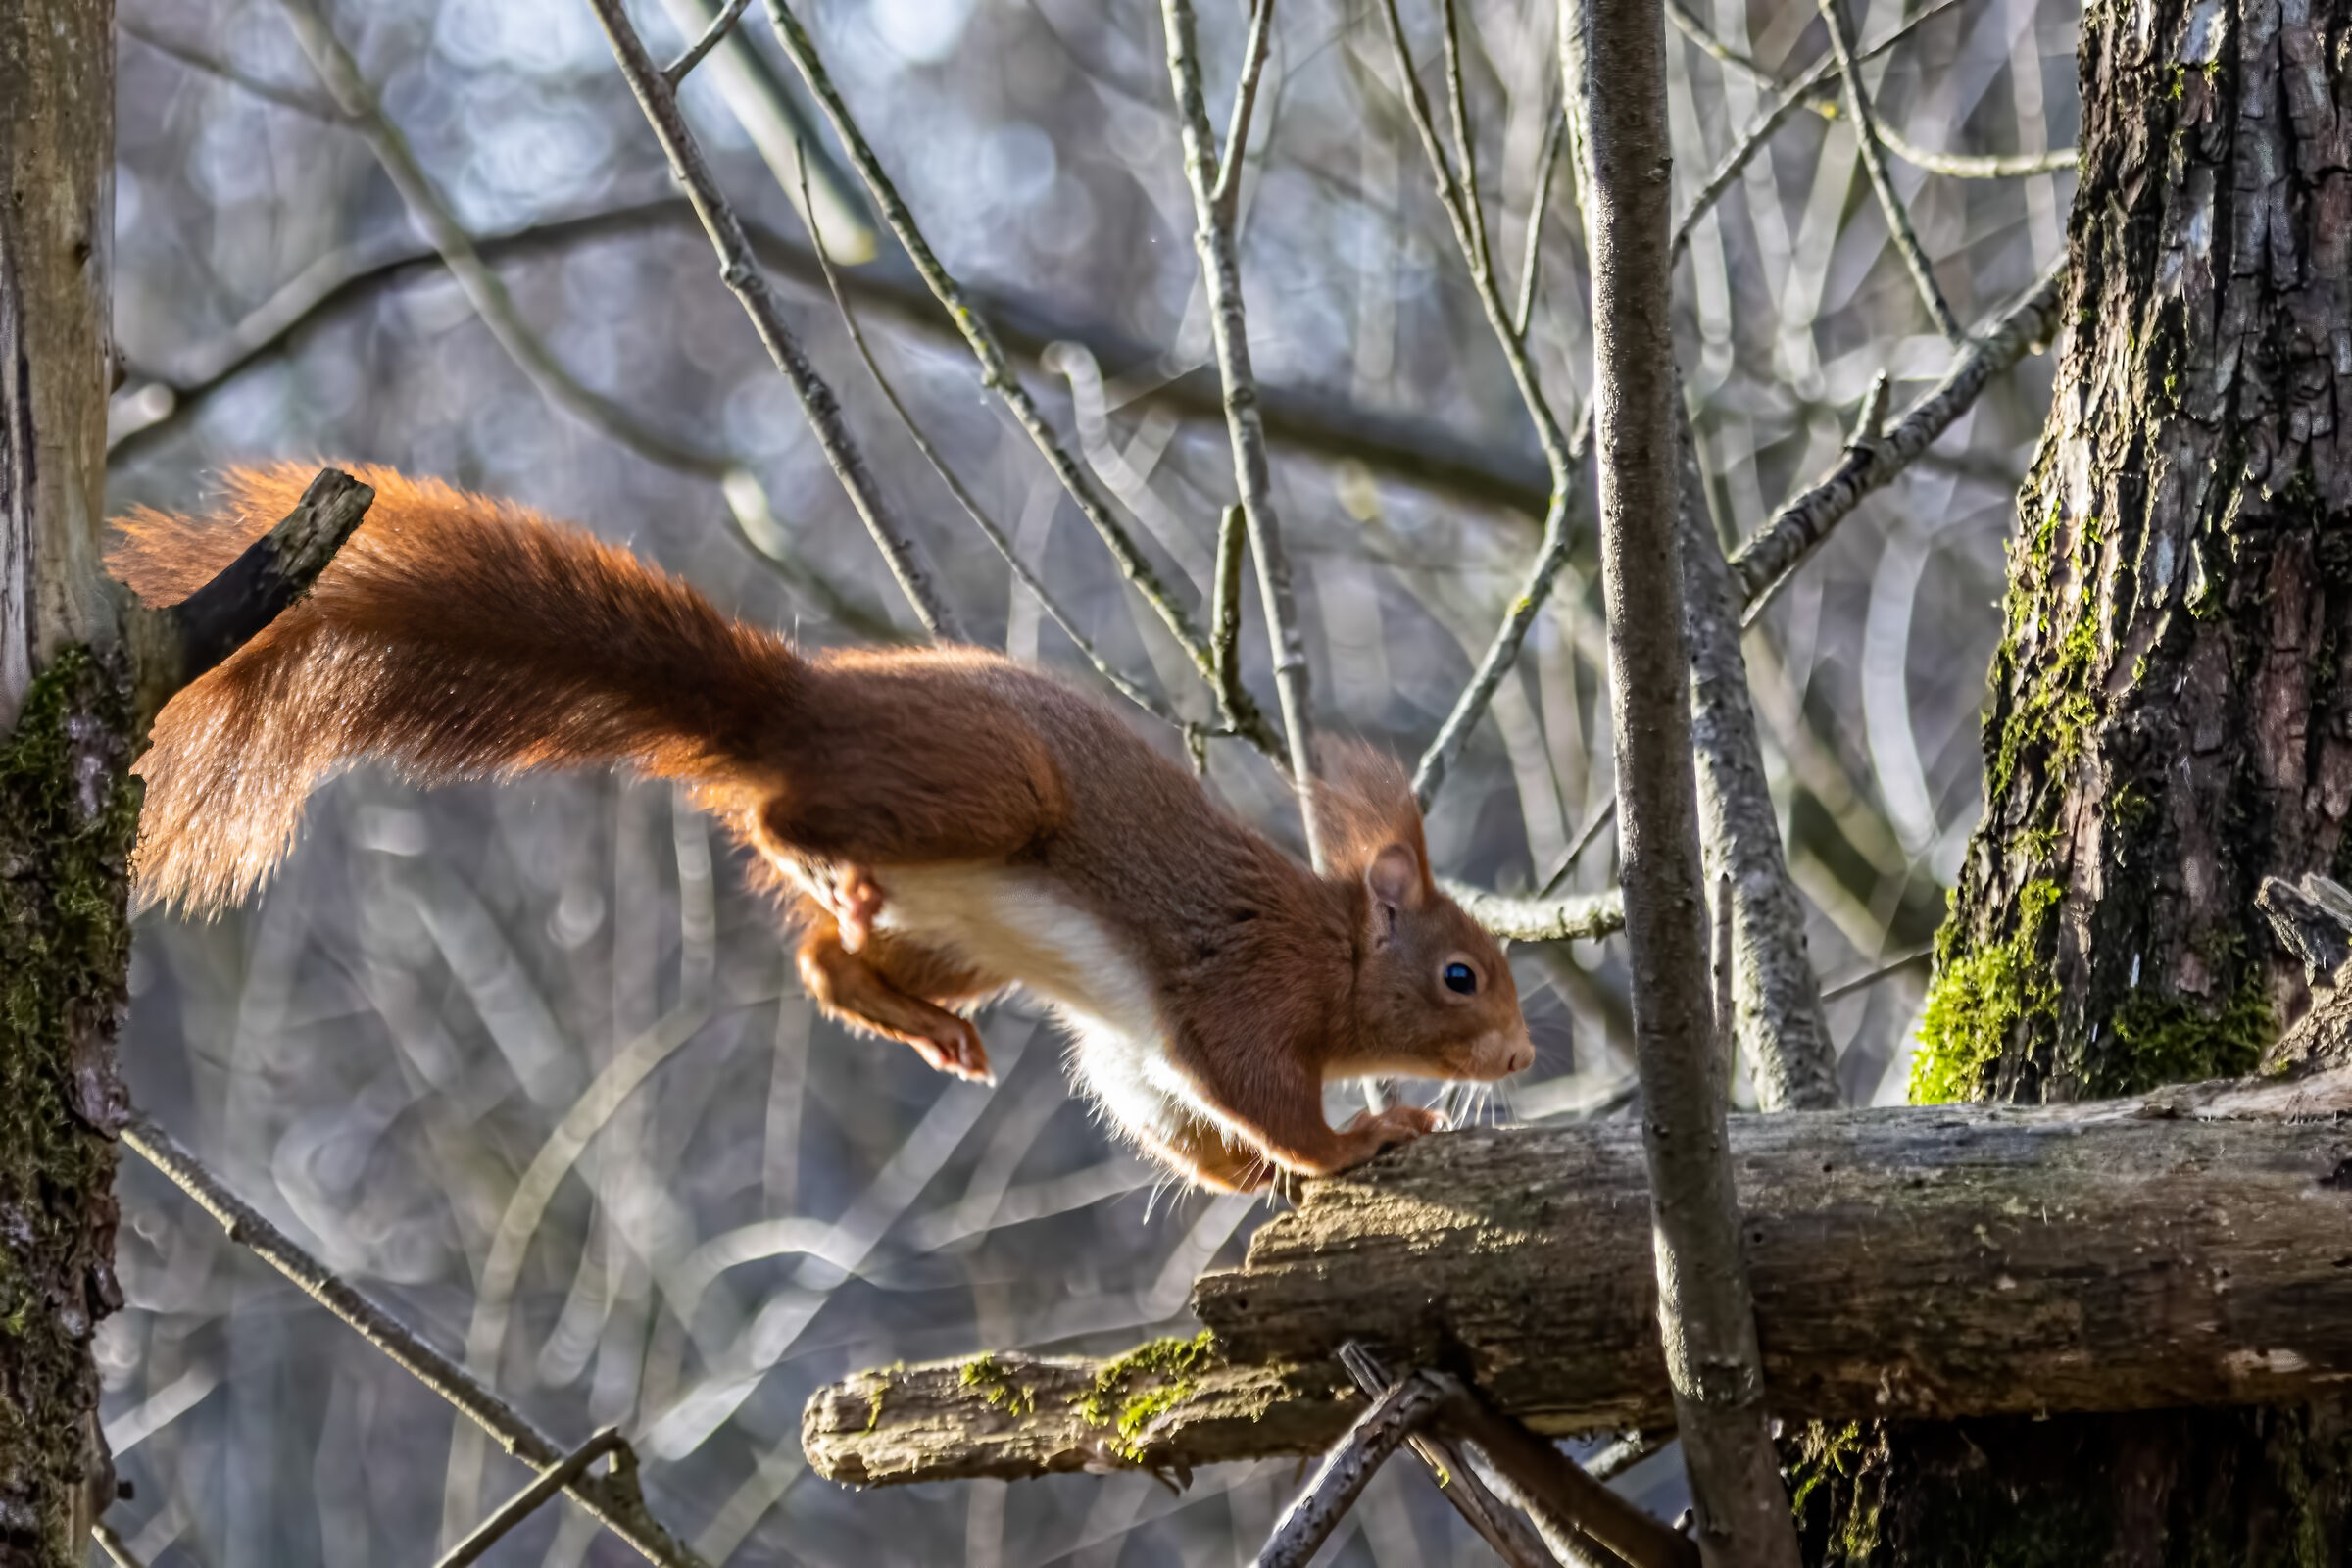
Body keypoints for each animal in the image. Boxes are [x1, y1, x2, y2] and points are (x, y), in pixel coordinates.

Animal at [111, 462, 1534, 1192]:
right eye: (1463, 974)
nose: (1521, 1056)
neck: (1334, 946)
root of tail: (794, 702)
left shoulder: (1138, 1045)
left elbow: (1173, 1112)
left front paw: (1251, 1186)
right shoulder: (1242, 983)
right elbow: (1252, 1089)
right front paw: (1355, 1140)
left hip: (954, 926)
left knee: (821, 960)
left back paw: (909, 1013)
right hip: (986, 792)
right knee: (787, 817)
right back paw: (812, 854)